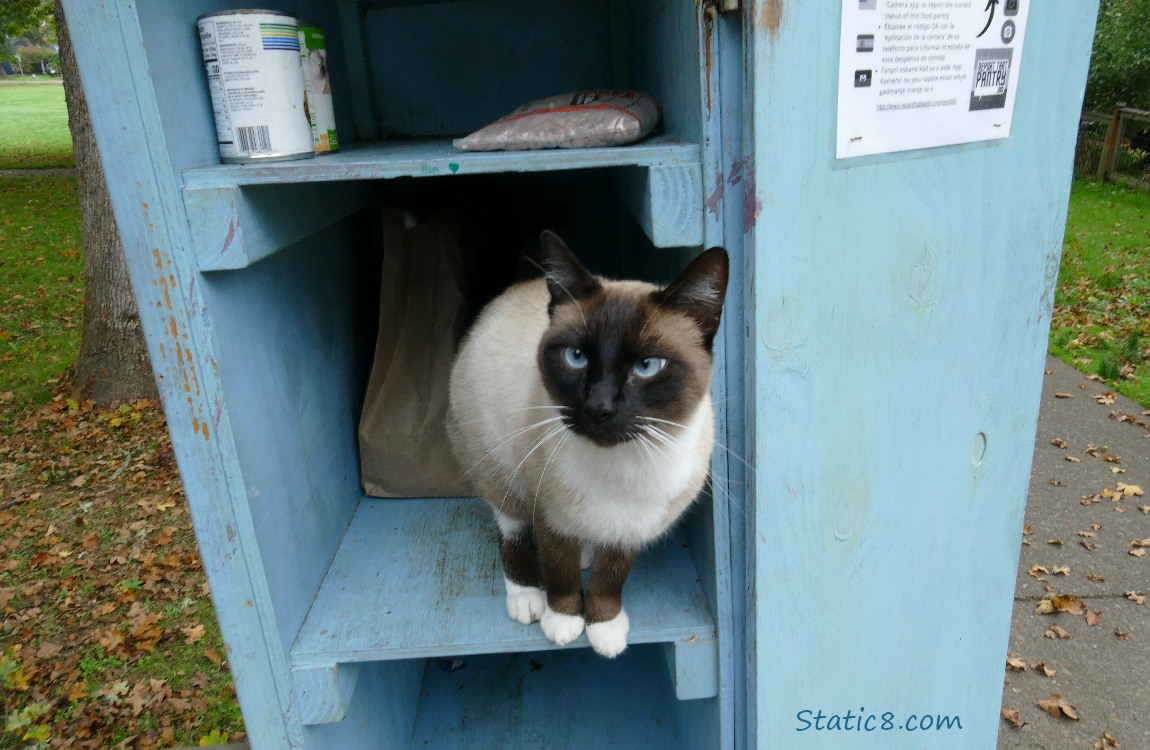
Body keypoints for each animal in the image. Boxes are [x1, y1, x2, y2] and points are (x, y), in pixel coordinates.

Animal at [448, 231, 726, 657]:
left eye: (648, 366)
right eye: (576, 357)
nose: (599, 408)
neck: (624, 465)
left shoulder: (634, 526)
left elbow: (611, 577)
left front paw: (605, 628)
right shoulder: (546, 512)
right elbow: (558, 568)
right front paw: (563, 621)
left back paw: (586, 553)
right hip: (498, 466)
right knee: (510, 527)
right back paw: (526, 596)